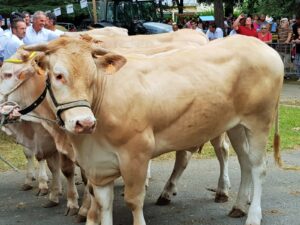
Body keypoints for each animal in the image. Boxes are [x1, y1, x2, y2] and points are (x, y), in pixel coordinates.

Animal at [19, 35, 284, 225]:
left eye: (93, 76)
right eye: (58, 75)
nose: (84, 123)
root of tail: (261, 45)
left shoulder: (136, 153)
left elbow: (134, 201)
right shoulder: (98, 166)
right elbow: (104, 205)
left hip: (259, 120)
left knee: (259, 167)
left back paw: (253, 216)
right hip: (237, 125)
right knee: (245, 162)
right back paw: (238, 206)